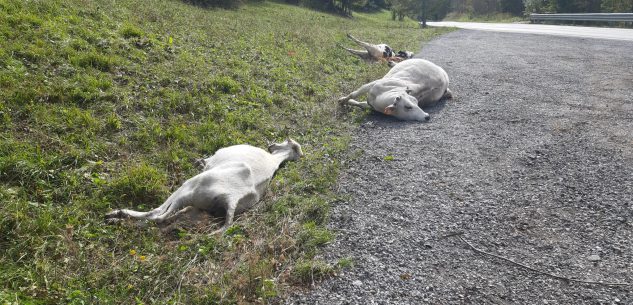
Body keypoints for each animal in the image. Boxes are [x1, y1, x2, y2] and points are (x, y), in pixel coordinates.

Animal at [106, 138, 304, 233]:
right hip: (198, 207)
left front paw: (199, 161)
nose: (271, 145)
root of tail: (232, 198)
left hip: (189, 187)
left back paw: (117, 215)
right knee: (166, 219)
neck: (273, 159)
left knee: (157, 215)